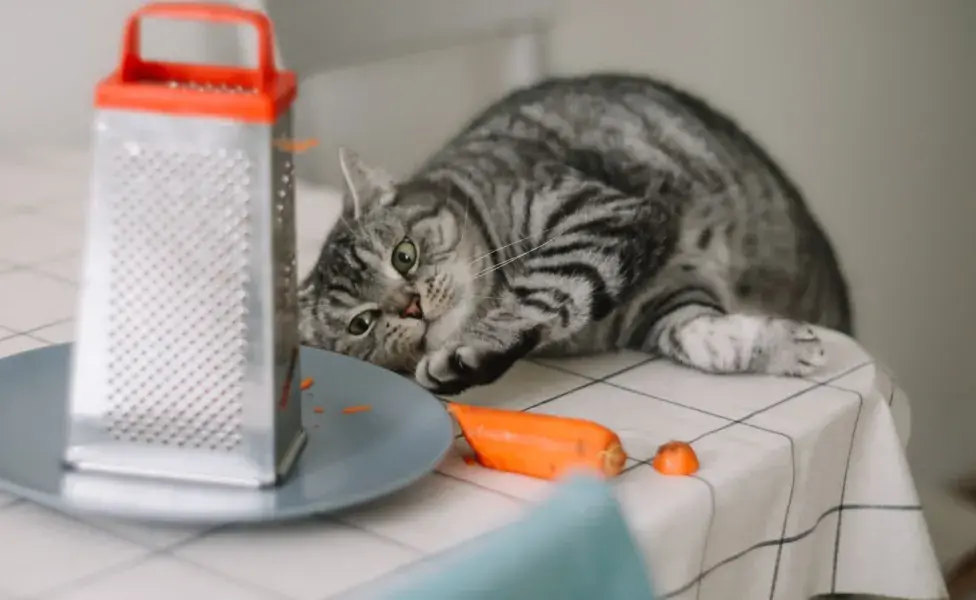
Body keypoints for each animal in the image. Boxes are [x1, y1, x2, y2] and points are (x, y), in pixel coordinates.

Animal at [300, 72, 856, 396]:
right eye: (362, 324)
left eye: (404, 256)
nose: (411, 306)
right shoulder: (660, 301)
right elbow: (705, 338)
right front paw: (779, 346)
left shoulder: (601, 217)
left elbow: (542, 293)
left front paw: (469, 353)